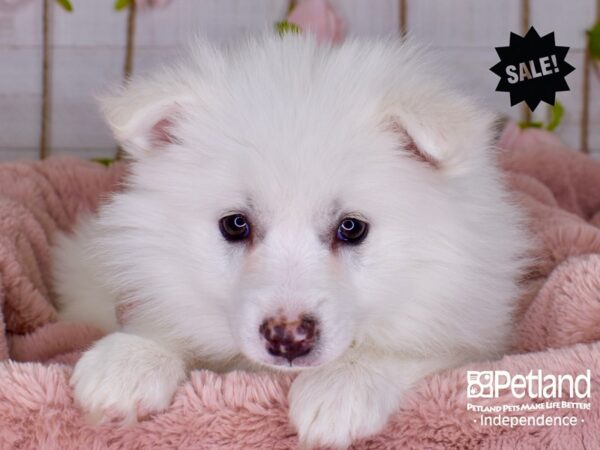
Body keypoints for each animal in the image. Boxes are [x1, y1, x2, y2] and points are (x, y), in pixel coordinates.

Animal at [54, 33, 528, 448]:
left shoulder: (474, 333)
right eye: (235, 225)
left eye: (352, 228)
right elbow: (167, 316)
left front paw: (339, 388)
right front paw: (129, 362)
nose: (287, 339)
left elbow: (410, 347)